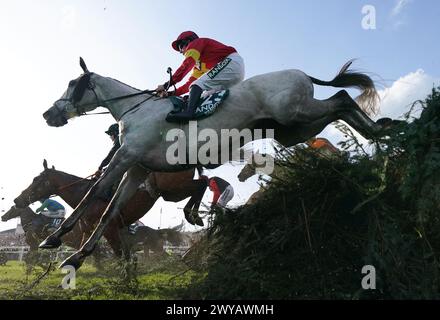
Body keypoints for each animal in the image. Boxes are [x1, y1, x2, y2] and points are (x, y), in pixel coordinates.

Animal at [13, 159, 206, 258]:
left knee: (202, 184)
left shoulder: (111, 229)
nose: (18, 199)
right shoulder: (87, 231)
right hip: (172, 193)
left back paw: (193, 216)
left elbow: (121, 256)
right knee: (201, 183)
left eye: (36, 179)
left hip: (172, 190)